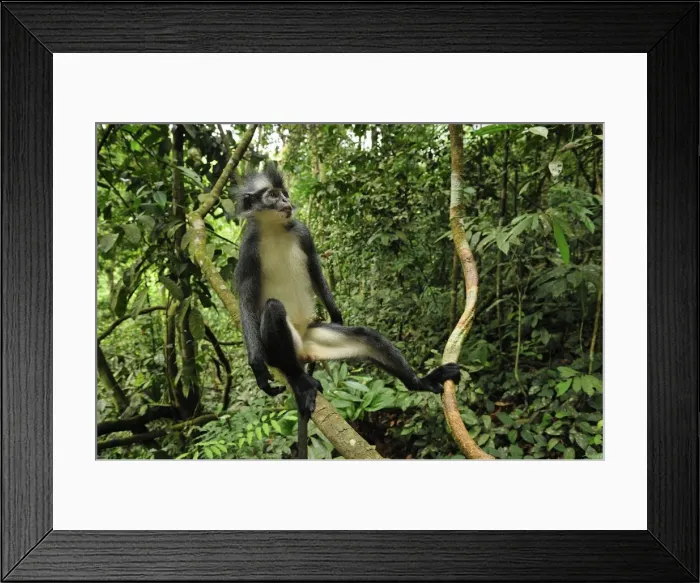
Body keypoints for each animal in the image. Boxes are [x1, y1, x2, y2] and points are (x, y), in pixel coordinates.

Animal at [233, 165, 460, 458]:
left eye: (284, 193)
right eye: (272, 195)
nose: (286, 201)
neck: (274, 230)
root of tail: (302, 349)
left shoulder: (302, 233)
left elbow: (315, 269)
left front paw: (337, 315)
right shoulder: (249, 249)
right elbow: (246, 298)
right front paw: (257, 367)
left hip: (314, 338)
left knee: (367, 337)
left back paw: (422, 383)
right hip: (283, 346)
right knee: (273, 310)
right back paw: (300, 382)